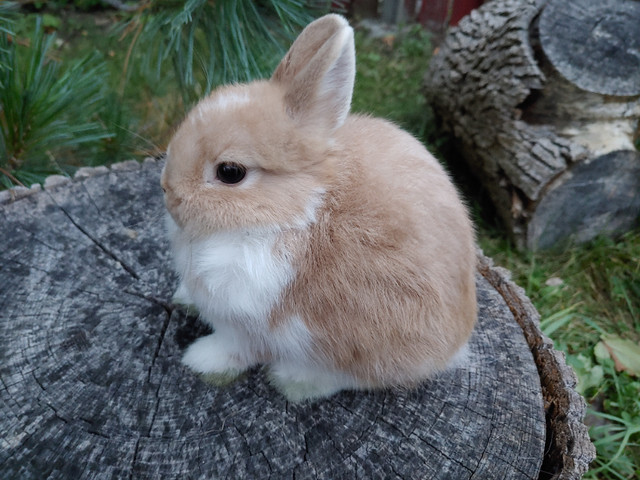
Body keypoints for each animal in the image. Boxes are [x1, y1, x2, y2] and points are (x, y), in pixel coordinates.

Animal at [162, 14, 478, 402]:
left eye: (230, 172)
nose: (168, 192)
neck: (296, 211)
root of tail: (457, 343)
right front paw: (183, 298)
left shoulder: (250, 324)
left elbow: (236, 349)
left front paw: (200, 361)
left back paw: (294, 382)